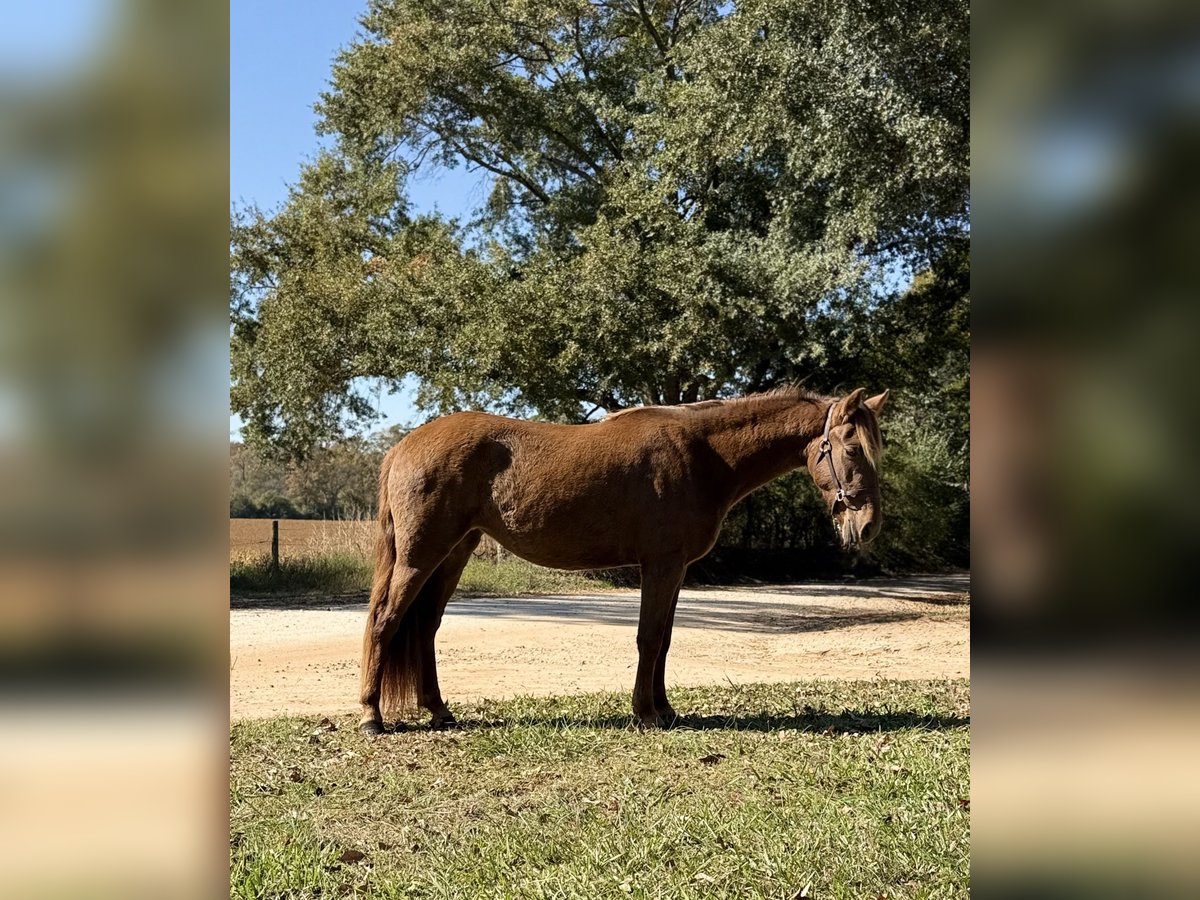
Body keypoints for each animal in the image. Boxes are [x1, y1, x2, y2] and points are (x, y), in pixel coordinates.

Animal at [358, 385, 888, 733]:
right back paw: (372, 716)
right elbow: (649, 638)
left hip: (455, 552)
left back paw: (438, 710)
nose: (867, 527)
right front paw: (646, 713)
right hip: (421, 554)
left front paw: (665, 709)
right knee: (386, 621)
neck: (703, 454)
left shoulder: (675, 569)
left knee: (425, 627)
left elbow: (666, 640)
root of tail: (403, 446)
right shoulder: (661, 564)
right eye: (852, 449)